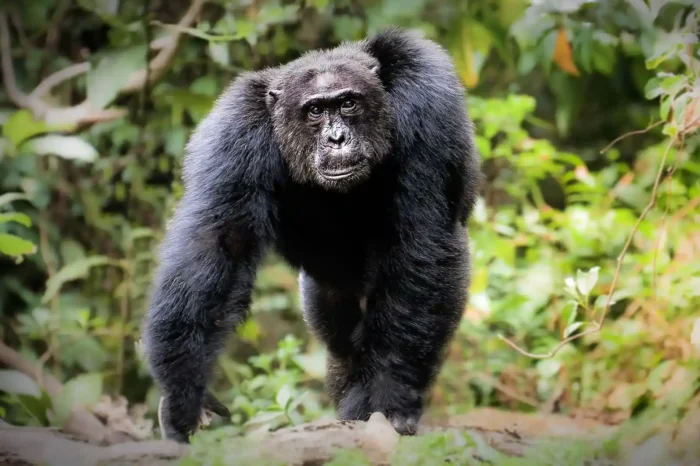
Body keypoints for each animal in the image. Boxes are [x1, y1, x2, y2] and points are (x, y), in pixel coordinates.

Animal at [142, 26, 481, 443]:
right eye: (315, 111)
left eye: (348, 103)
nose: (336, 138)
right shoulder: (235, 135)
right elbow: (219, 243)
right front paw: (183, 397)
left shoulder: (427, 99)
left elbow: (419, 238)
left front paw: (390, 397)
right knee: (339, 335)